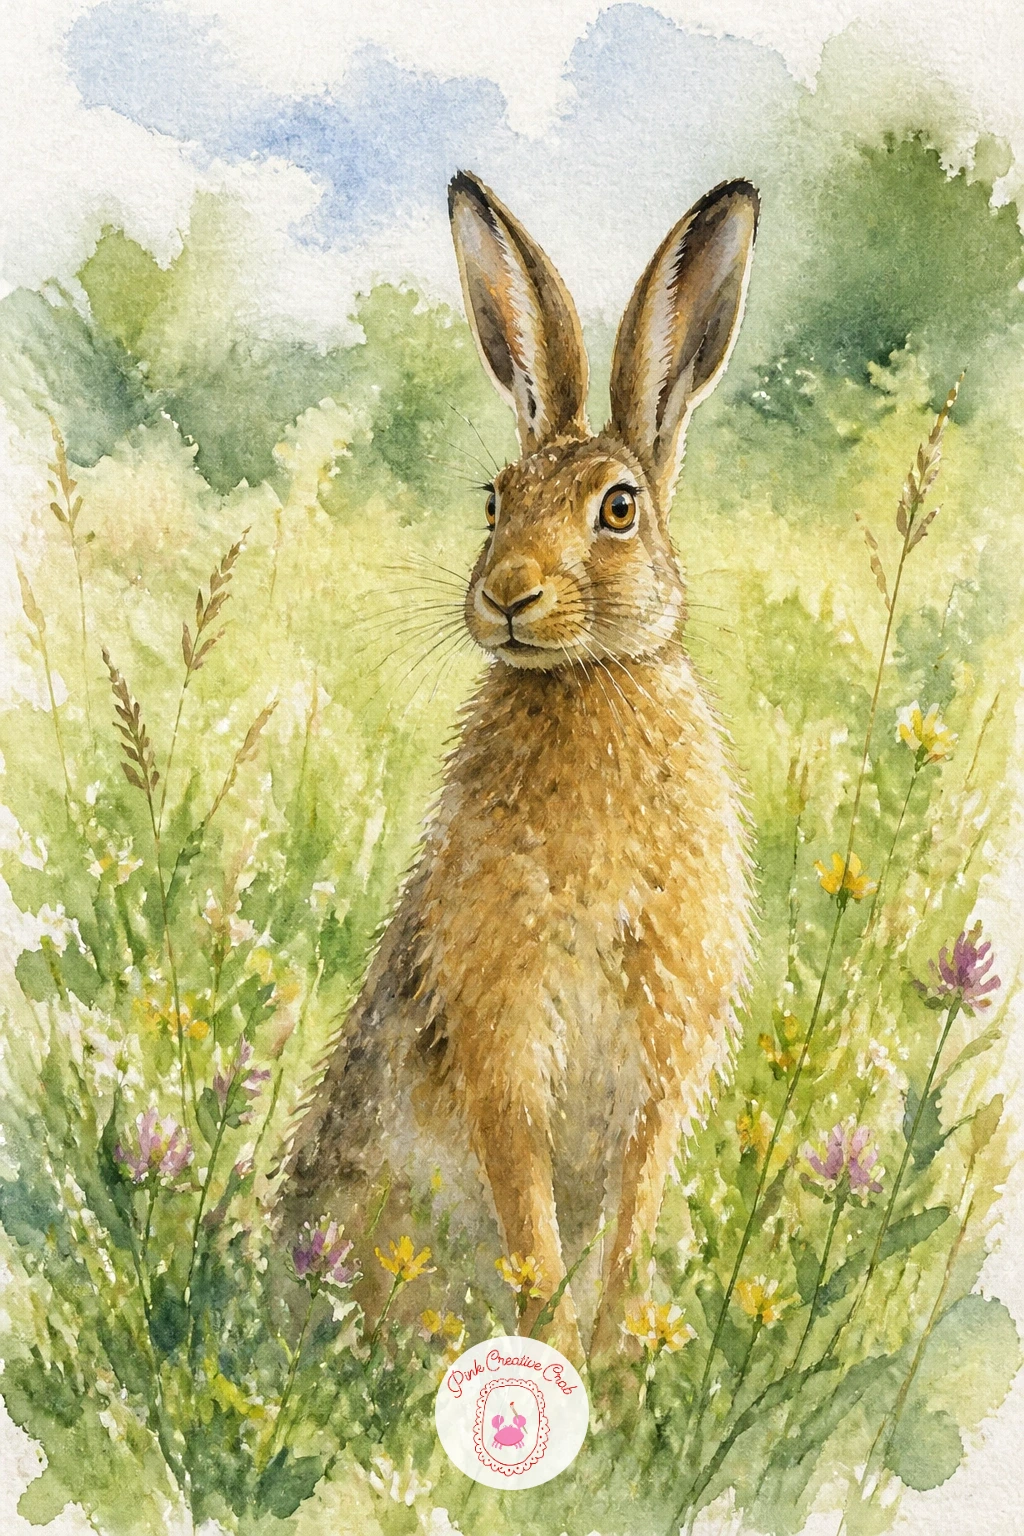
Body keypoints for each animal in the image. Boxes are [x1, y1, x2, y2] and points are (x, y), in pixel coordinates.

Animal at [283, 171, 758, 1366]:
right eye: (494, 501)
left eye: (619, 509)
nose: (507, 594)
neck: (587, 677)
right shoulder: (497, 1024)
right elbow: (531, 1223)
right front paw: (563, 1365)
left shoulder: (666, 1048)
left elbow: (632, 1218)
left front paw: (614, 1365)